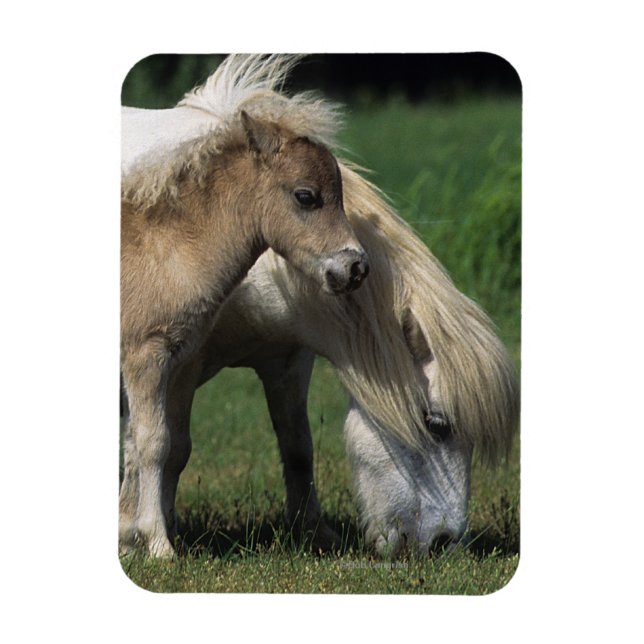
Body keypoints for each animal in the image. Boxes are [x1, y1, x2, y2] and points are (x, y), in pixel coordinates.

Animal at [120, 55, 370, 557]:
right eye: (306, 197)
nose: (354, 268)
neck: (164, 249)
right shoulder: (145, 355)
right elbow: (153, 443)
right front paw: (157, 546)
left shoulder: (176, 363)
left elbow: (145, 446)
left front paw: (131, 539)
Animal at [120, 160, 520, 556]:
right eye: (437, 424)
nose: (444, 544)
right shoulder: (175, 365)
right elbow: (167, 448)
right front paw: (141, 535)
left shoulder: (289, 361)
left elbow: (298, 446)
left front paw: (314, 532)